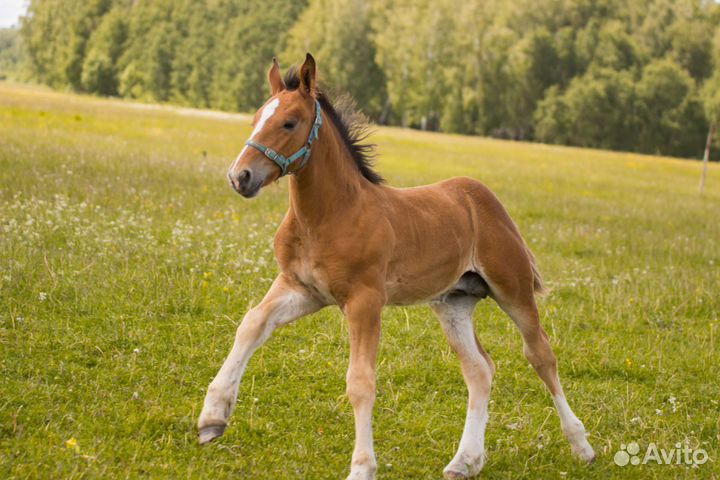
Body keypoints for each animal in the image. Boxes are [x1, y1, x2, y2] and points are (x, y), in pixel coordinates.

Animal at [197, 54, 596, 479]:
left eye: (289, 122)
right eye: (255, 118)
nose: (240, 176)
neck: (328, 215)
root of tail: (482, 197)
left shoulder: (365, 301)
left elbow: (360, 381)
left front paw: (362, 467)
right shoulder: (301, 288)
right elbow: (251, 324)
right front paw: (212, 418)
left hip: (514, 290)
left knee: (541, 355)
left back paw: (582, 446)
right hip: (453, 303)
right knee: (479, 369)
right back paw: (465, 460)